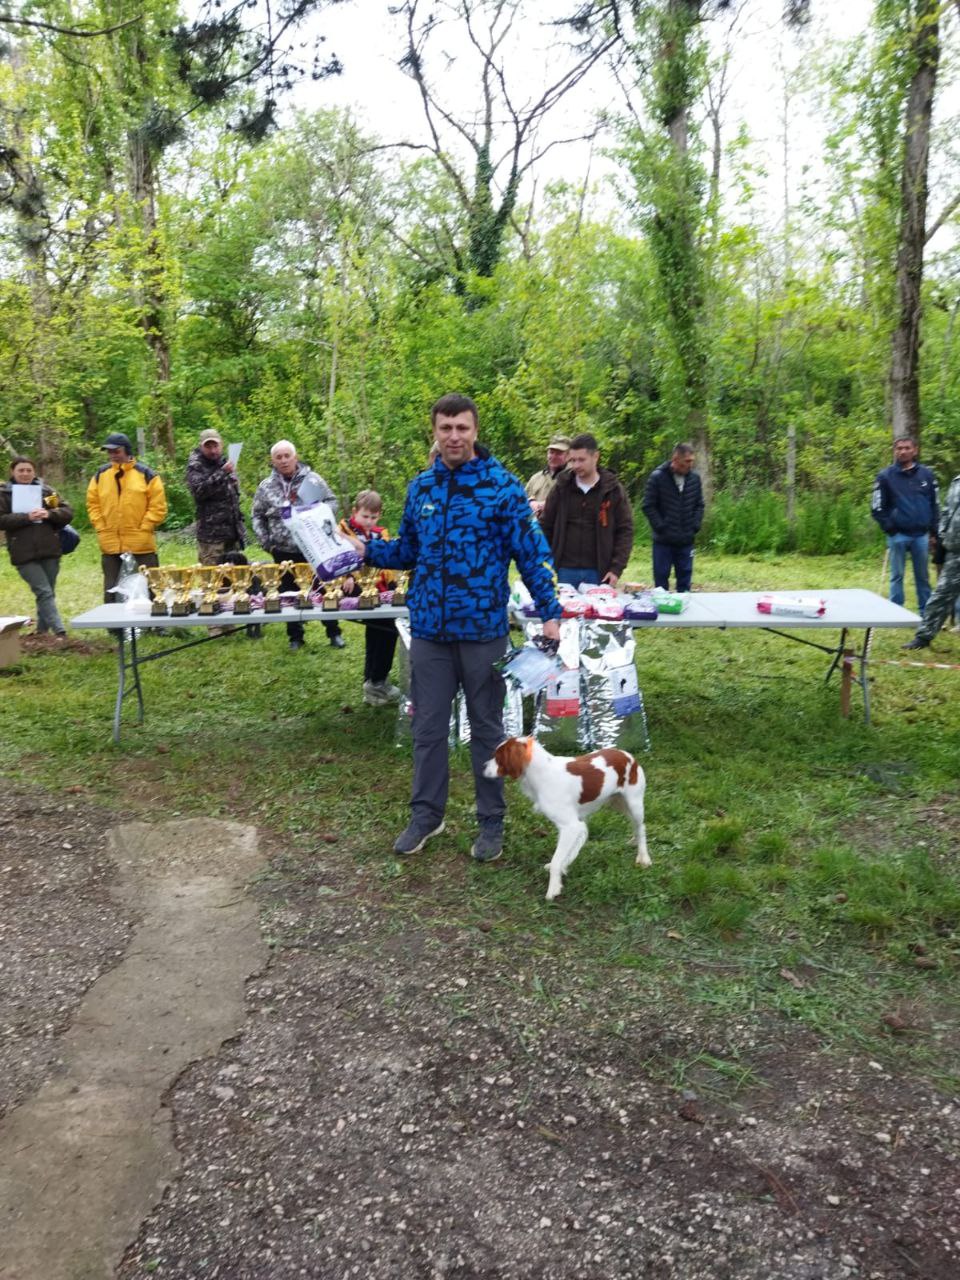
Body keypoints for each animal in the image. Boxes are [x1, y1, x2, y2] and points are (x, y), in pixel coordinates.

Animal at [483, 736, 650, 900]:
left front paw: (553, 889)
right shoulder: (571, 826)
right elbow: (566, 852)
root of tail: (628, 755)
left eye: (498, 757)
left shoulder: (570, 826)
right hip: (616, 802)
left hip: (634, 803)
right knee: (634, 826)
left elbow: (557, 859)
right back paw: (634, 842)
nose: (483, 767)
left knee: (641, 827)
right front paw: (562, 868)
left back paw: (644, 857)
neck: (542, 773)